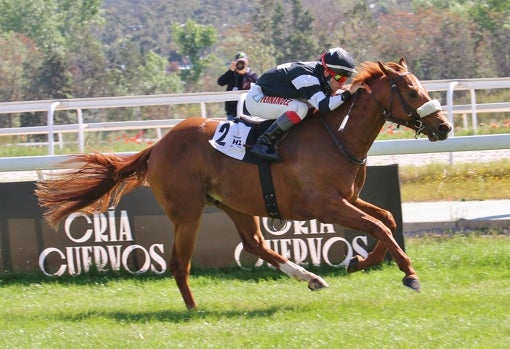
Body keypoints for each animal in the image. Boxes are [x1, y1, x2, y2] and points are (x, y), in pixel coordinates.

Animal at [35, 58, 450, 308]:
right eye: (411, 91)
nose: (444, 127)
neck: (339, 135)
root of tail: (158, 145)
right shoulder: (327, 205)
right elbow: (378, 225)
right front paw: (409, 274)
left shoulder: (347, 198)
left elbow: (386, 220)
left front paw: (362, 262)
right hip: (187, 213)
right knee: (179, 263)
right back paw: (193, 309)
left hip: (235, 203)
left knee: (254, 243)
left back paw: (311, 278)